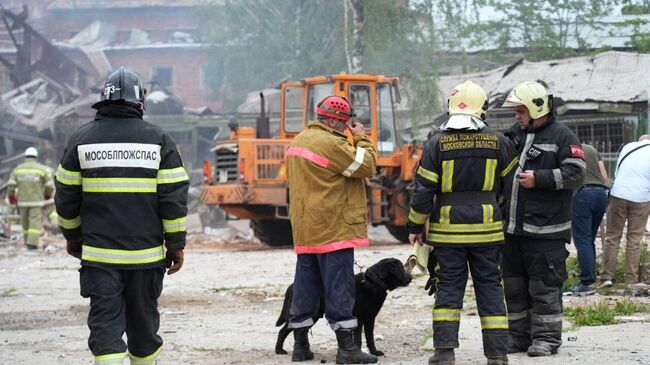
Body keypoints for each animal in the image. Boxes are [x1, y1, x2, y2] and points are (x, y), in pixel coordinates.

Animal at [274, 258, 410, 356]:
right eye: (401, 268)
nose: (410, 277)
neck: (374, 282)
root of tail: (291, 286)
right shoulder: (359, 319)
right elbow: (358, 339)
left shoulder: (370, 319)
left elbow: (370, 338)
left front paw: (375, 352)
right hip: (309, 314)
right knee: (283, 331)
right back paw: (279, 351)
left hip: (313, 316)